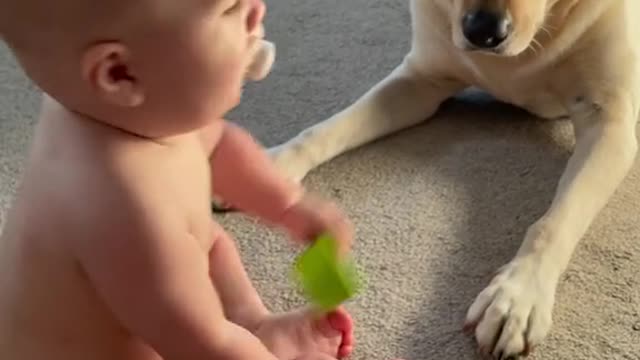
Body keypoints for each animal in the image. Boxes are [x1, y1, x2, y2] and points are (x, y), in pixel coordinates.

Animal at [266, 1, 640, 358]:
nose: (483, 32)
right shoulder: (419, 82)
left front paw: (519, 295)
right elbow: (323, 130)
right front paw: (269, 170)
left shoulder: (609, 124)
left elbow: (554, 222)